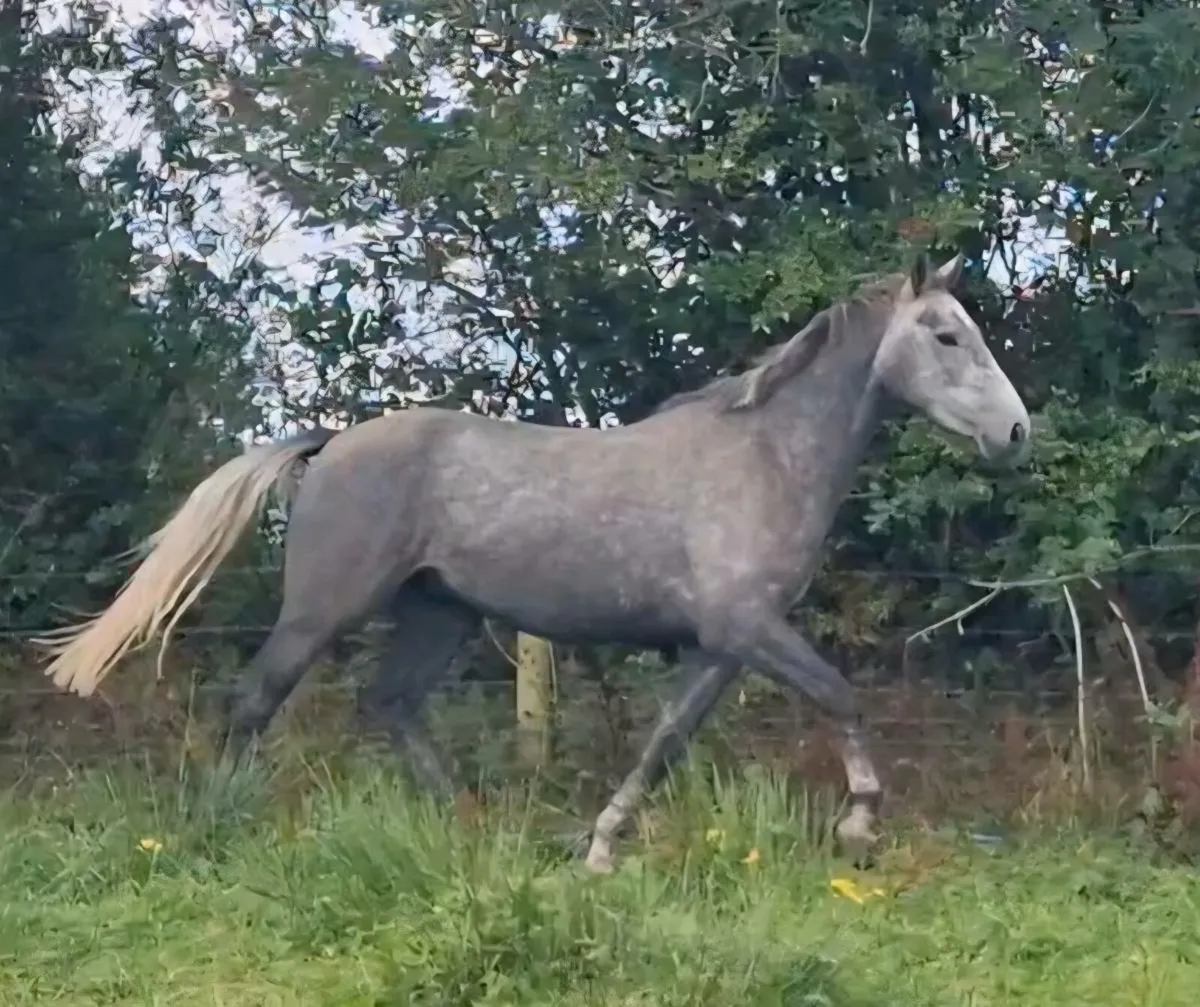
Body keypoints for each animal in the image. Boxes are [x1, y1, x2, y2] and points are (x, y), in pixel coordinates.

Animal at [37, 252, 1030, 872]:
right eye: (946, 335)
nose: (1016, 432)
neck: (765, 457)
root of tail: (328, 444)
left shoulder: (721, 646)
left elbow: (666, 741)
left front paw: (599, 845)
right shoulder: (747, 628)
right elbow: (840, 695)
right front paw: (860, 822)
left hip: (439, 613)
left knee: (390, 705)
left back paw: (471, 826)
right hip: (326, 609)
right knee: (255, 701)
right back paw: (217, 824)